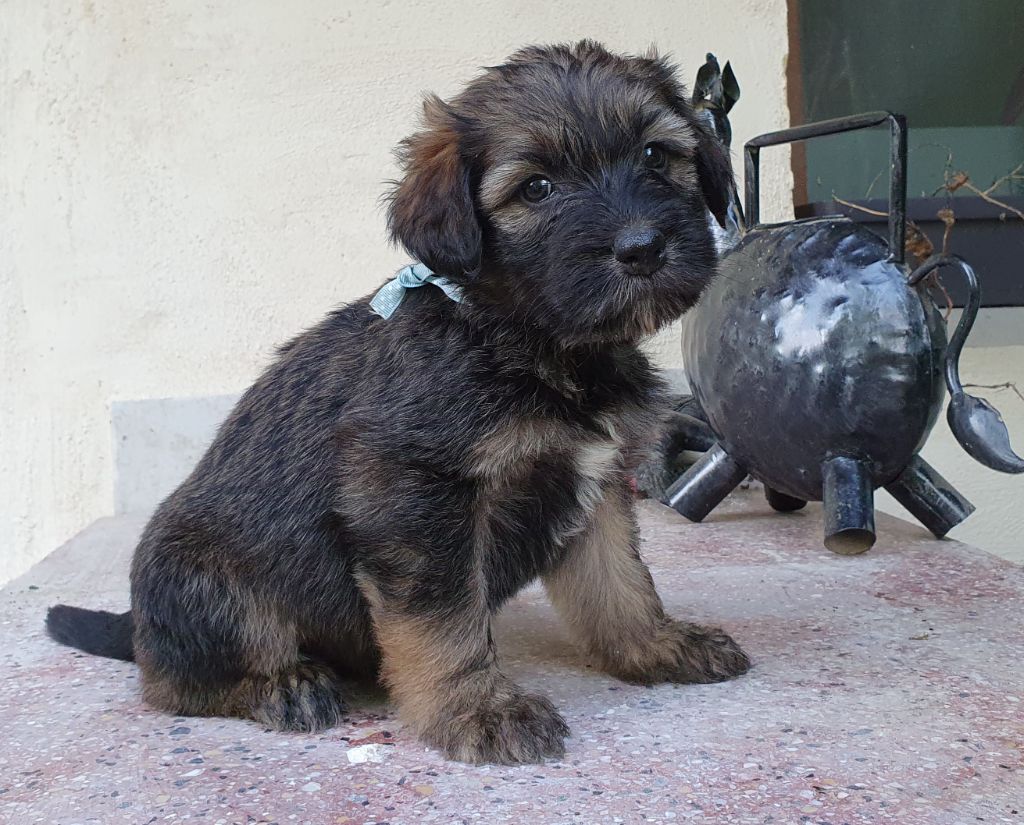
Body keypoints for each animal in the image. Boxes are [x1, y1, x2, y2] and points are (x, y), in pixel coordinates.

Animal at [48, 40, 749, 769]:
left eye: (655, 155)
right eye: (536, 188)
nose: (642, 248)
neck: (525, 338)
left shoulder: (597, 487)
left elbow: (621, 587)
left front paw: (657, 646)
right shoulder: (417, 499)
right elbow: (444, 623)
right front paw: (476, 709)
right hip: (202, 577)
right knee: (174, 679)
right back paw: (281, 684)